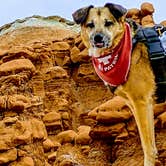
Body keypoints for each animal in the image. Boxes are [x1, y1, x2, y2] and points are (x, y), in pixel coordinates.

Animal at [72, 2, 158, 166]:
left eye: (108, 23)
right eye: (90, 25)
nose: (98, 38)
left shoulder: (141, 103)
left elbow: (147, 146)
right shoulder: (139, 105)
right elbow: (151, 144)